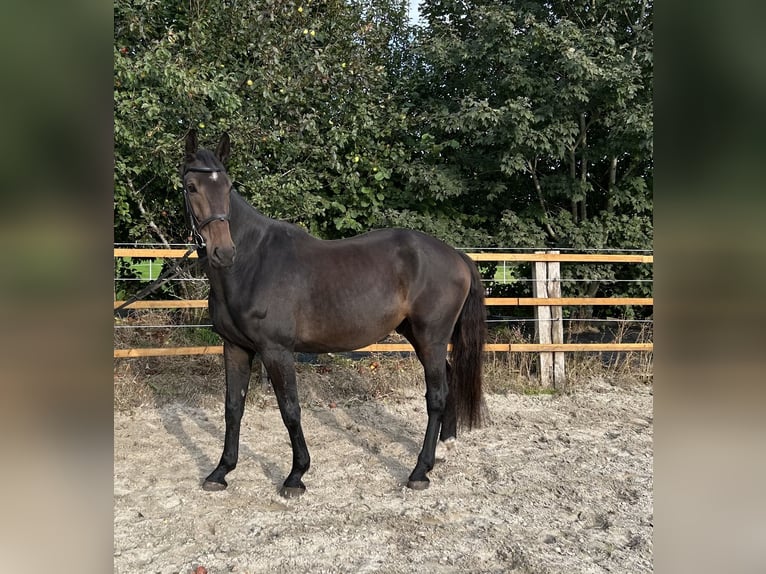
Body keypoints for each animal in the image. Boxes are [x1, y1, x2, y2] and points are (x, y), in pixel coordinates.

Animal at [181, 130, 486, 497]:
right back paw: (446, 444)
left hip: (432, 337)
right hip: (417, 335)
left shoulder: (276, 351)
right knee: (449, 379)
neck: (252, 263)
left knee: (437, 395)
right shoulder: (236, 347)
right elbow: (233, 408)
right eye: (192, 187)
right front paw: (221, 471)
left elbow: (290, 410)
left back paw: (419, 471)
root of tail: (457, 256)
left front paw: (296, 475)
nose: (223, 252)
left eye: (227, 187)